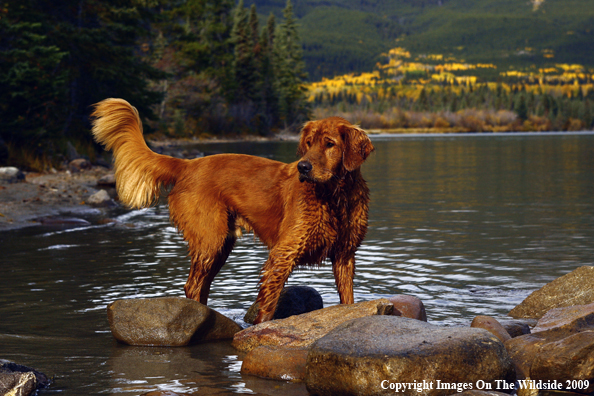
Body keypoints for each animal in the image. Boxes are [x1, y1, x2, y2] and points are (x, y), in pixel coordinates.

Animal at [91, 99, 372, 324]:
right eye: (309, 143)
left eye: (329, 144)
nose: (303, 167)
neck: (335, 197)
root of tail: (187, 165)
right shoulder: (283, 254)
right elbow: (268, 305)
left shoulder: (345, 255)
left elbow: (348, 299)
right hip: (210, 240)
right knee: (192, 285)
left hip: (220, 245)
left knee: (201, 286)